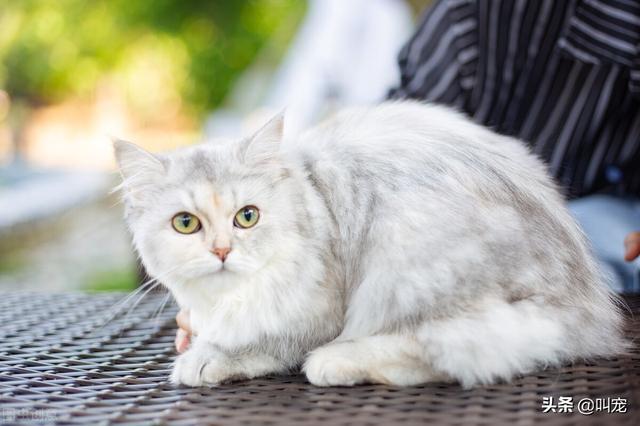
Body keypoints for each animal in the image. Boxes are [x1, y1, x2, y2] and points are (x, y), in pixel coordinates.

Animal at [114, 101, 624, 388]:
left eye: (247, 217)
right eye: (186, 224)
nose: (221, 251)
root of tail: (586, 304)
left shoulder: (316, 313)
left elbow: (263, 344)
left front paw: (203, 360)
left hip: (406, 267)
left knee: (449, 353)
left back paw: (335, 363)